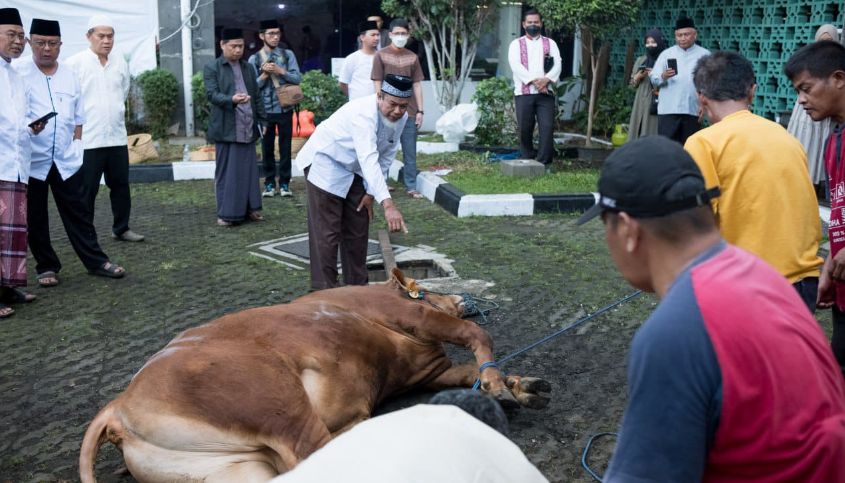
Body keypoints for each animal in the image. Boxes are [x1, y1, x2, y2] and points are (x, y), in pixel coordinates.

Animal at [79, 270, 548, 482]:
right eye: (426, 287)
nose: (461, 297)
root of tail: (117, 406)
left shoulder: (429, 372)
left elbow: (466, 370)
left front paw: (520, 387)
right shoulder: (410, 317)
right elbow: (476, 334)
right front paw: (497, 384)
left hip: (238, 470)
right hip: (275, 402)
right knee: (315, 452)